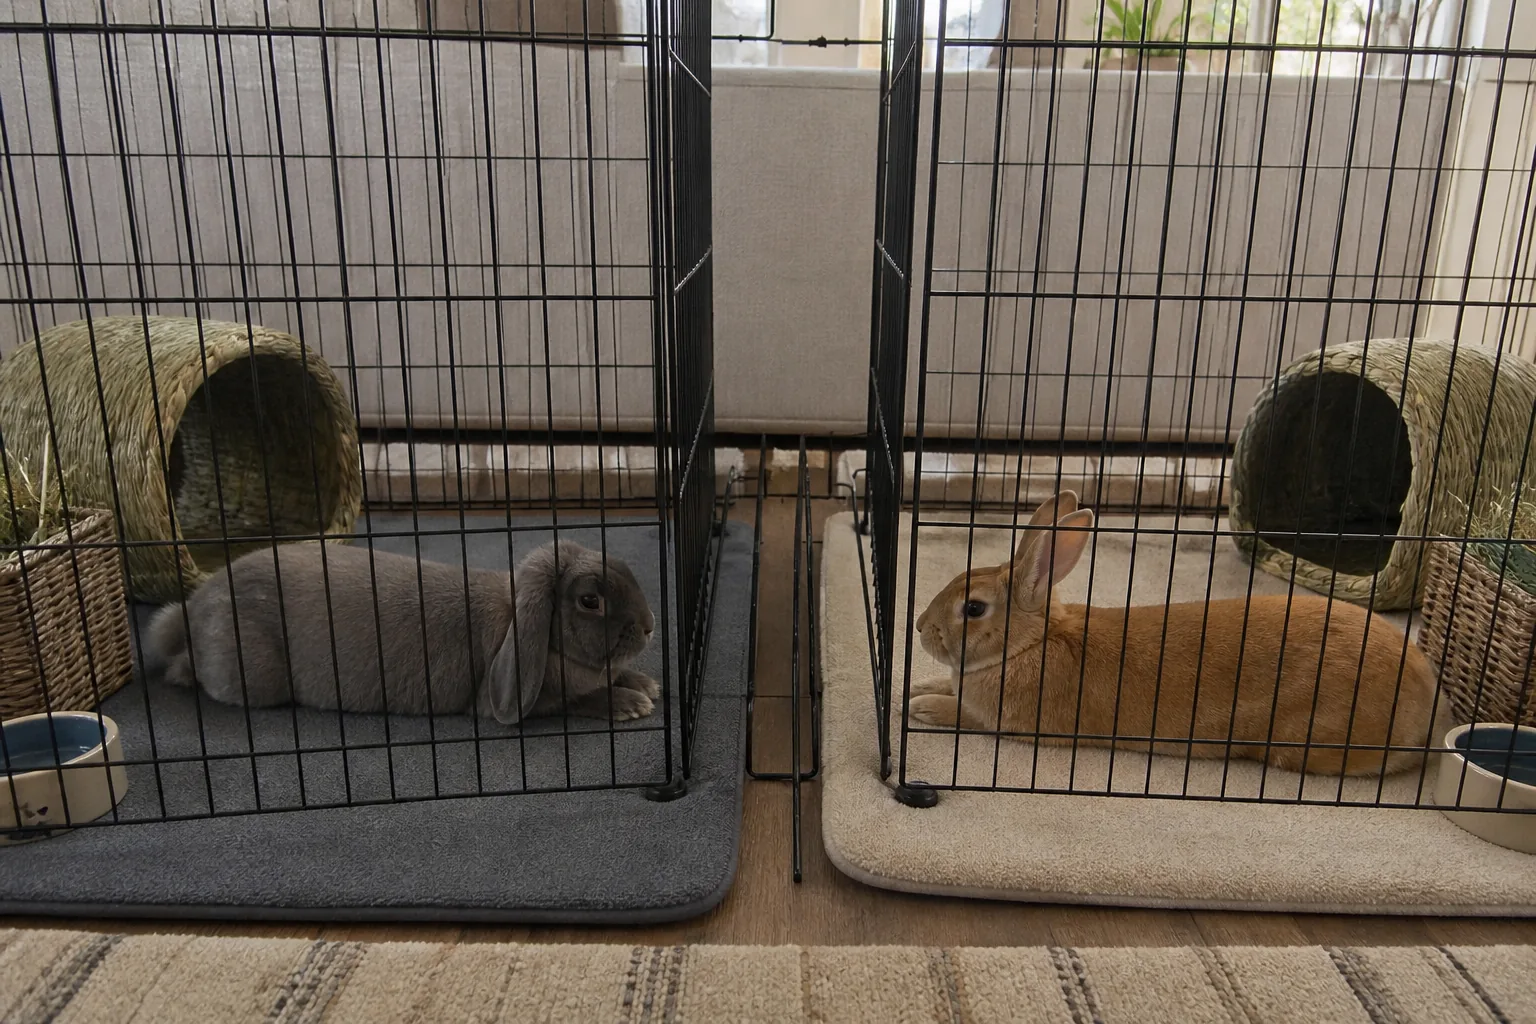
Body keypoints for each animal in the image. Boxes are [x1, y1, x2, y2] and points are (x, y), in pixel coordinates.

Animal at [145, 539, 659, 724]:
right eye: (590, 601)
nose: (651, 627)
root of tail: (194, 606)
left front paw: (645, 684)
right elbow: (573, 701)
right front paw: (630, 704)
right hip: (249, 677)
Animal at [909, 491, 1438, 777]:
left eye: (973, 608)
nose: (918, 628)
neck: (1029, 644)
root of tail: (1426, 696)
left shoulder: (1011, 722)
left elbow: (966, 714)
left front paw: (923, 708)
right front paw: (917, 686)